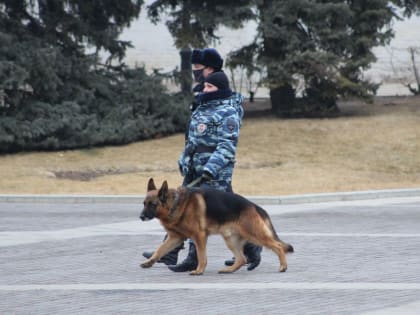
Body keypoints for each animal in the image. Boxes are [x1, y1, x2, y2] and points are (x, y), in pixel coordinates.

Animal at [139, 180, 294, 276]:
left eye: (152, 204)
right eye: (144, 203)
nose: (140, 217)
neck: (175, 203)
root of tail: (254, 206)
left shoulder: (199, 236)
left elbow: (201, 256)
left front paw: (199, 270)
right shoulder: (175, 238)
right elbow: (160, 250)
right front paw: (149, 262)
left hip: (254, 234)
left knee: (277, 246)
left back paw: (283, 266)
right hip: (231, 240)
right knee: (242, 259)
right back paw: (229, 270)